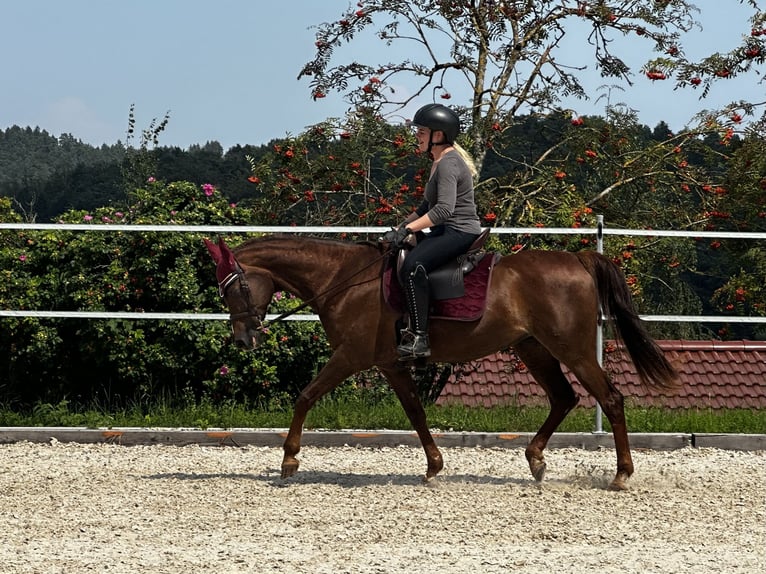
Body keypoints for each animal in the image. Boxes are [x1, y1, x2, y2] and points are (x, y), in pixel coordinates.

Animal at [204, 234, 678, 490]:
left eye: (232, 289)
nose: (244, 338)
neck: (342, 279)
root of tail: (577, 259)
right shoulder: (391, 364)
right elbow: (415, 412)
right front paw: (433, 467)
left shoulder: (352, 356)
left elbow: (305, 396)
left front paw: (289, 461)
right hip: (533, 347)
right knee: (563, 398)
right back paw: (536, 459)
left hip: (572, 349)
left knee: (610, 398)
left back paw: (620, 475)